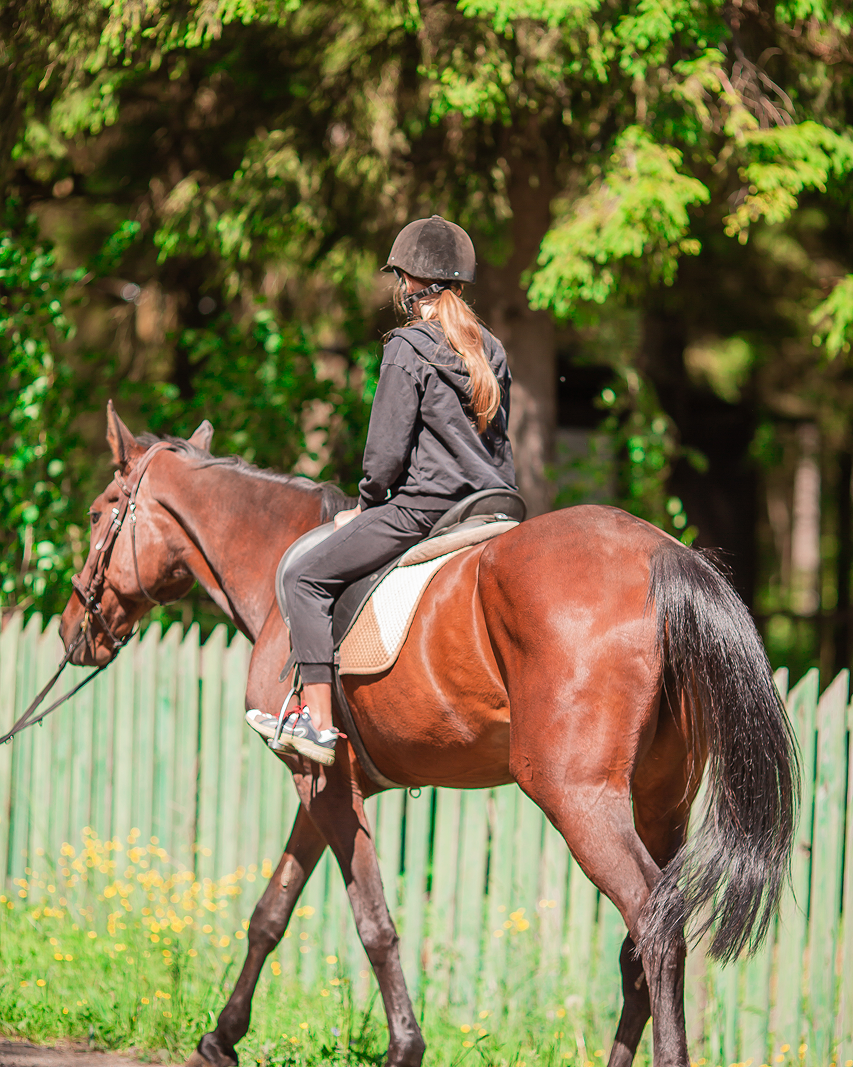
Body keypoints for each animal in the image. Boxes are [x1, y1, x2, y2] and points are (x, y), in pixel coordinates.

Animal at [58, 403, 799, 1067]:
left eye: (97, 514)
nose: (73, 628)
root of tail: (665, 555)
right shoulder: (321, 786)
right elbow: (271, 911)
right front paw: (221, 1038)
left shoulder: (326, 788)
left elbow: (374, 924)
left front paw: (404, 1047)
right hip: (660, 804)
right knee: (640, 945)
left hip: (578, 799)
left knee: (653, 927)